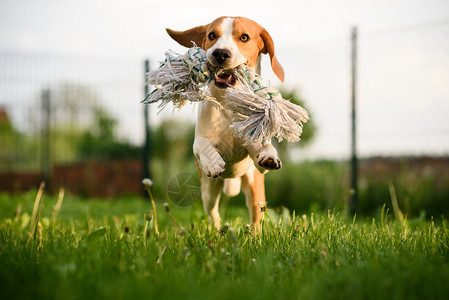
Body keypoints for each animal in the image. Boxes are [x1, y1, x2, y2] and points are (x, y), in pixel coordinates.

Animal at [166, 15, 286, 227]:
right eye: (212, 35)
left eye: (244, 37)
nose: (221, 53)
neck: (229, 104)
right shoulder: (199, 141)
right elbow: (201, 145)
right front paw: (212, 162)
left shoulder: (256, 158)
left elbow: (263, 147)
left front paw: (270, 155)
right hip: (208, 191)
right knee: (213, 213)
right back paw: (217, 229)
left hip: (255, 189)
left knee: (256, 218)